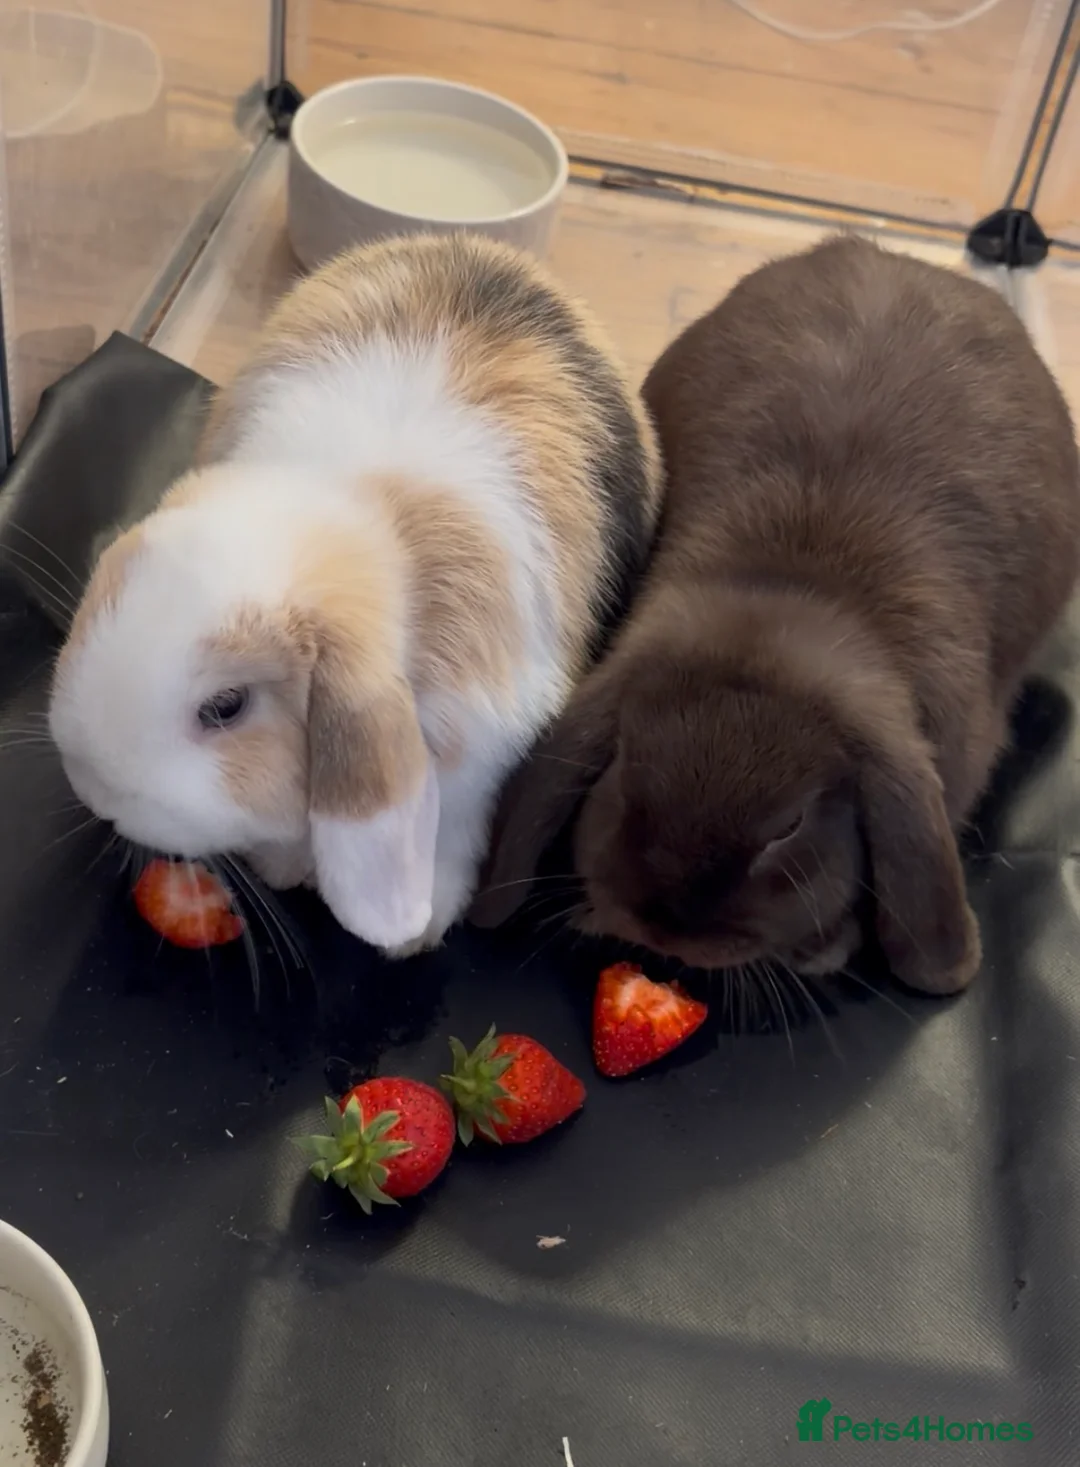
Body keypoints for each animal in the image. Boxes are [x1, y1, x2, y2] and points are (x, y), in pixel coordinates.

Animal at [48, 233, 663, 955]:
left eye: (226, 707)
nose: (99, 794)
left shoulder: (476, 758)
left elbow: (449, 835)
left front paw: (414, 936)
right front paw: (284, 870)